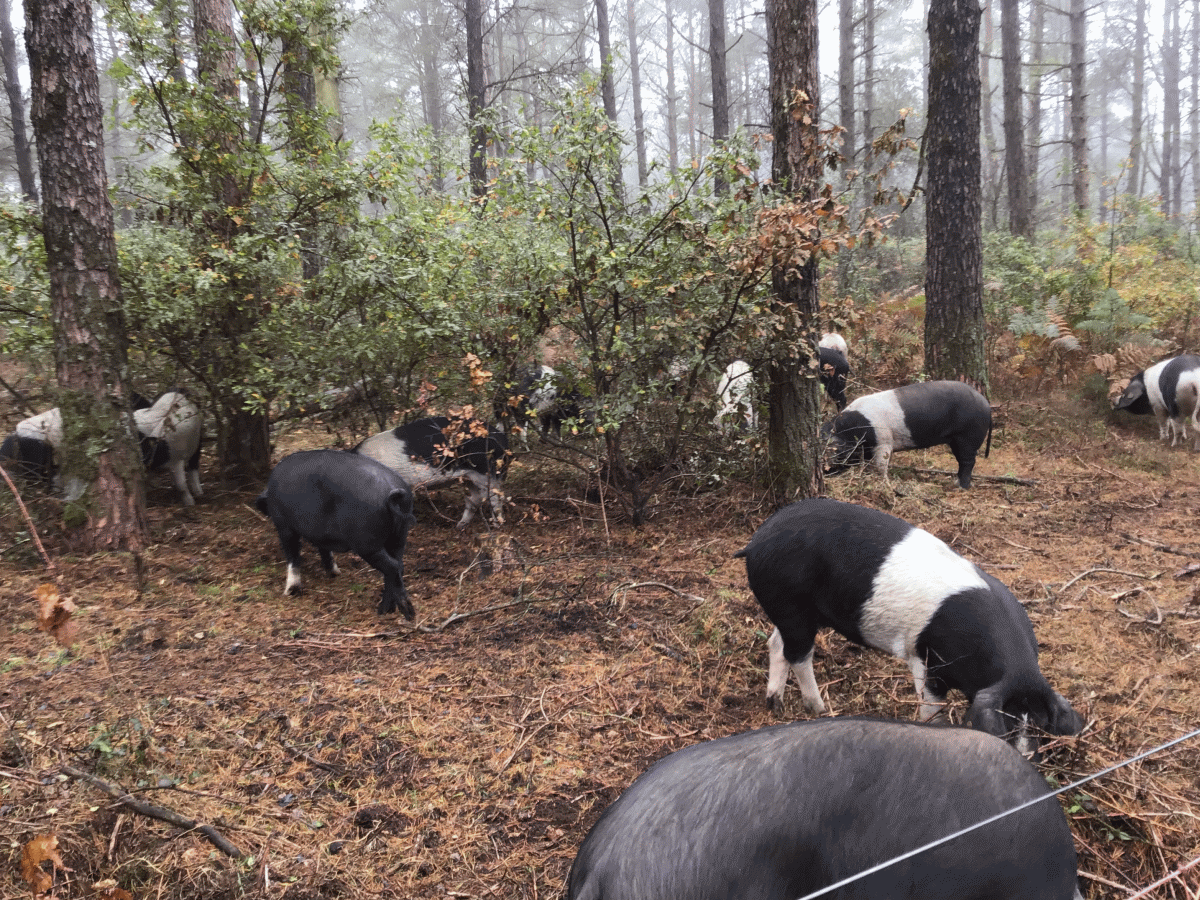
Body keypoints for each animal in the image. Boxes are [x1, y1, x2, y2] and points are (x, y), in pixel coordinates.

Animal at [255, 451, 420, 619]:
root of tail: (393, 490)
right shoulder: (321, 535)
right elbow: (325, 551)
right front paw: (334, 573)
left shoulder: (285, 527)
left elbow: (293, 557)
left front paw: (289, 592)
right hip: (399, 536)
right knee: (398, 566)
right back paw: (386, 610)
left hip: (367, 544)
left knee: (393, 567)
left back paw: (406, 614)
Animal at [352, 415, 508, 528]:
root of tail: (502, 437)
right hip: (467, 477)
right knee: (474, 499)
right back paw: (459, 526)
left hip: (487, 472)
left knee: (495, 498)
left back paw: (497, 526)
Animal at [734, 496, 1084, 748]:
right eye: (1007, 723)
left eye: (1040, 727)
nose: (1024, 754)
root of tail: (754, 542)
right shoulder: (927, 660)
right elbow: (932, 709)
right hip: (789, 602)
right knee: (798, 654)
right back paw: (818, 709)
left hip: (792, 611)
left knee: (777, 643)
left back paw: (775, 704)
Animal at [825, 381, 993, 494]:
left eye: (836, 452)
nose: (826, 471)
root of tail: (986, 404)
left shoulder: (884, 441)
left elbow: (881, 465)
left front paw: (885, 484)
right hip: (956, 440)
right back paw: (955, 481)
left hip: (969, 436)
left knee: (968, 462)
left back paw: (960, 487)